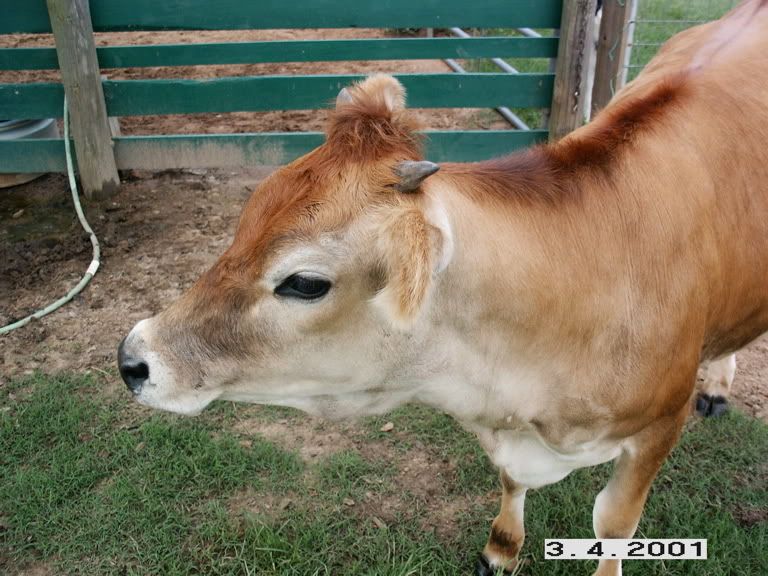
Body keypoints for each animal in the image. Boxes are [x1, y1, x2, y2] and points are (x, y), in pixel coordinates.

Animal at [118, 2, 768, 575]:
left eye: (304, 282)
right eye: (244, 221)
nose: (132, 358)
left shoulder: (657, 429)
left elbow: (613, 526)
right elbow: (510, 482)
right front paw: (500, 549)